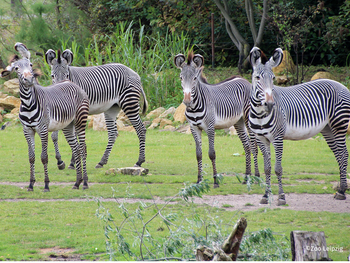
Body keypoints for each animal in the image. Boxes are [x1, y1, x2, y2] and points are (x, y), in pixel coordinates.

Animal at [0, 42, 90, 192]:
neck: (28, 103)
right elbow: (31, 157)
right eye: (17, 68)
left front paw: (47, 184)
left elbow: (44, 157)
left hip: (80, 120)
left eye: (30, 65)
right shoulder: (27, 130)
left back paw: (85, 183)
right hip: (68, 125)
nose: (29, 79)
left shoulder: (42, 129)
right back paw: (77, 182)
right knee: (76, 149)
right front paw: (31, 184)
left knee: (82, 149)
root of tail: (69, 81)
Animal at [175, 52, 260, 188]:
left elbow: (211, 153)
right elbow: (198, 154)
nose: (187, 101)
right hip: (238, 121)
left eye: (194, 78)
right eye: (181, 78)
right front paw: (199, 181)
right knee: (247, 146)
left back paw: (256, 177)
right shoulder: (194, 128)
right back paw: (246, 178)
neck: (194, 107)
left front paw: (215, 181)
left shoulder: (210, 127)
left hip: (248, 119)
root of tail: (244, 80)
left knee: (253, 146)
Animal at [249, 46, 350, 205]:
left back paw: (341, 192)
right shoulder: (260, 139)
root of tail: (341, 85)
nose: (270, 104)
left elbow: (278, 169)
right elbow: (267, 168)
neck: (260, 114)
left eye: (273, 78)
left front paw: (281, 197)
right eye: (257, 78)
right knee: (339, 154)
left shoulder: (277, 138)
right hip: (327, 129)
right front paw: (265, 196)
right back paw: (341, 189)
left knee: (344, 154)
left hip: (339, 124)